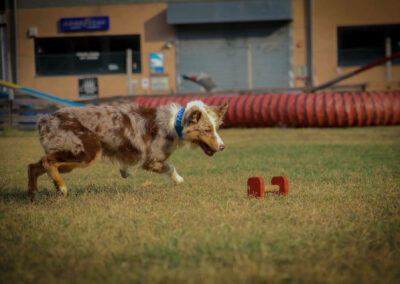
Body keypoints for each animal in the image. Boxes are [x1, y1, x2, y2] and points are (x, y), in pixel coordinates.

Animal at [27, 101, 228, 201]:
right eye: (207, 130)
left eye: (217, 128)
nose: (222, 147)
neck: (175, 124)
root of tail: (44, 119)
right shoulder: (151, 160)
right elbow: (170, 167)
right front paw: (178, 180)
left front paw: (125, 171)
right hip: (87, 151)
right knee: (47, 161)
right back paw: (61, 187)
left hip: (71, 158)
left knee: (33, 166)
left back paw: (34, 194)